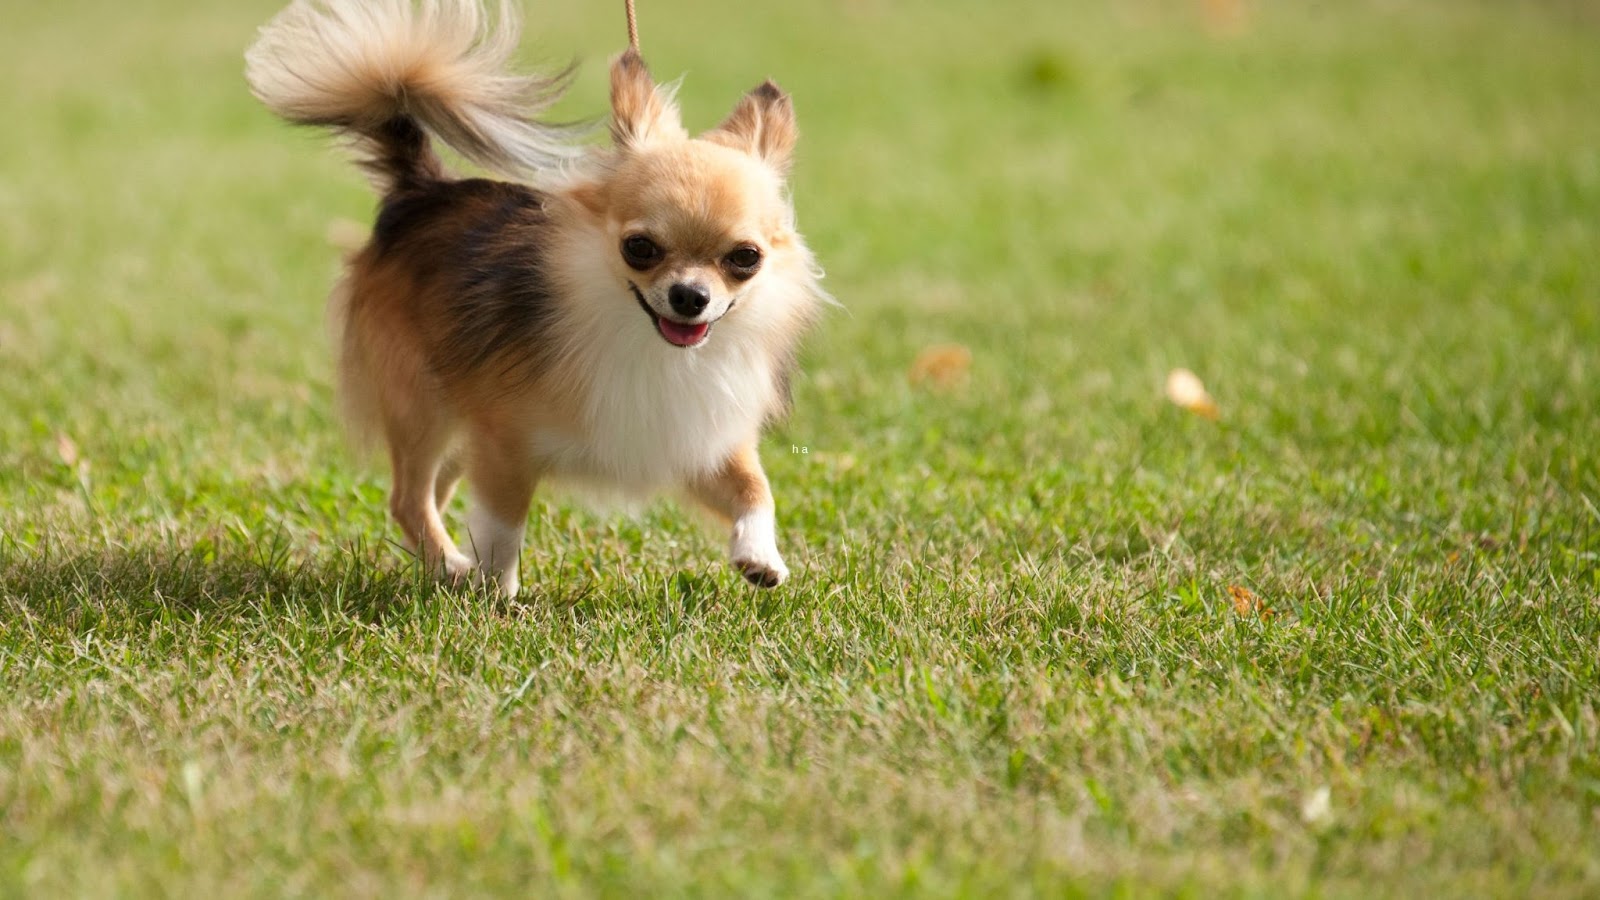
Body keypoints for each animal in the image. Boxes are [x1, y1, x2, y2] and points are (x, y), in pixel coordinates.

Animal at [246, 1, 838, 595]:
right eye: (640, 248)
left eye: (745, 258)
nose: (690, 296)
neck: (646, 341)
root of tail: (422, 191)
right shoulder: (506, 443)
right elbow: (503, 526)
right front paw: (497, 593)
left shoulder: (694, 441)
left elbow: (755, 487)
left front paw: (760, 555)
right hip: (423, 403)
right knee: (407, 497)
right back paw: (450, 565)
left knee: (428, 493)